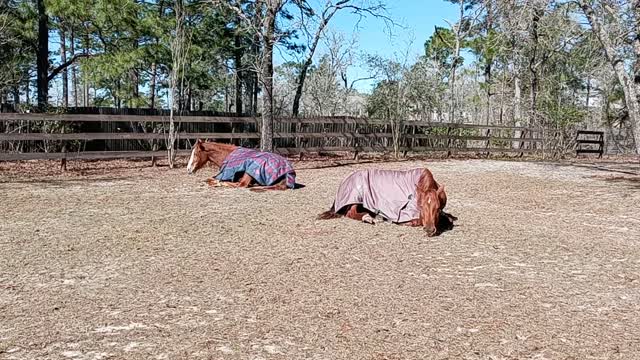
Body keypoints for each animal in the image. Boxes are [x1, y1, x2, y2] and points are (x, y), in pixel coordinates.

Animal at [318, 168, 458, 236]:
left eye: (438, 208)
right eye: (421, 206)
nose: (429, 230)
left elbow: (449, 218)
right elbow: (416, 221)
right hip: (357, 198)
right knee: (351, 212)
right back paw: (370, 218)